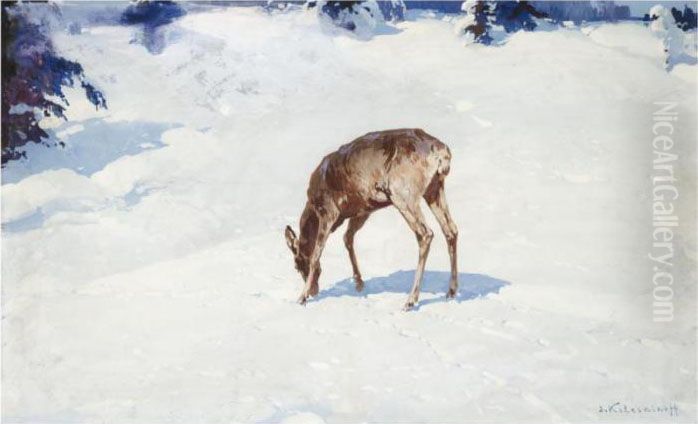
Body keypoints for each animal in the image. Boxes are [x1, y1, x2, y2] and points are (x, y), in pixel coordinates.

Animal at [284, 128, 458, 310]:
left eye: (296, 264)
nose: (313, 292)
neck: (313, 207)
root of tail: (442, 153)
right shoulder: (362, 210)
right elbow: (347, 237)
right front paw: (359, 282)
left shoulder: (328, 212)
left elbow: (316, 255)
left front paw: (301, 297)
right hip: (434, 189)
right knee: (450, 229)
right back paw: (451, 291)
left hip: (403, 193)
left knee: (425, 233)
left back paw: (411, 300)